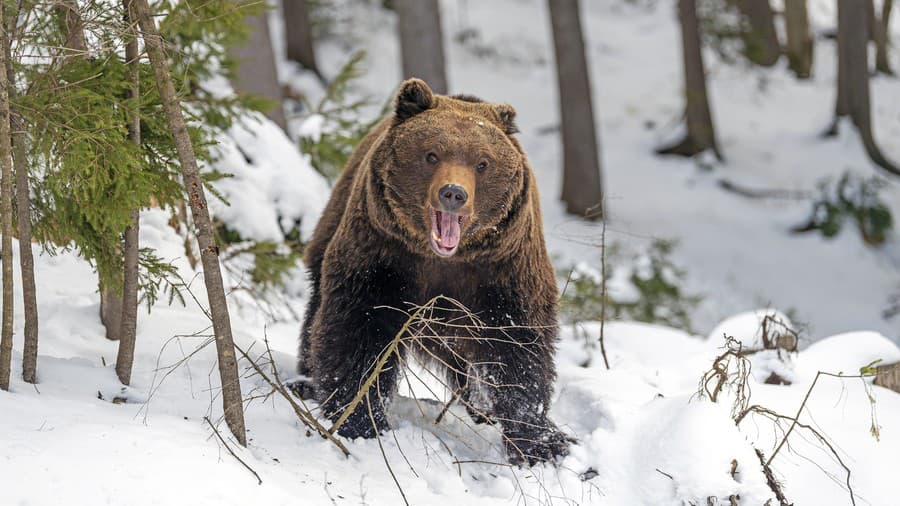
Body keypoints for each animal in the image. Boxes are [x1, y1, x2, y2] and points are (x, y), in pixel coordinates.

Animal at [300, 79, 568, 466]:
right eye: (431, 155)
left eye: (482, 162)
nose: (453, 193)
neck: (443, 258)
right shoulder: (384, 258)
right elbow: (358, 331)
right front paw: (360, 419)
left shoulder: (502, 270)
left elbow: (518, 347)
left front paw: (541, 443)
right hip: (336, 217)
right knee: (317, 305)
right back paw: (304, 379)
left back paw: (480, 408)